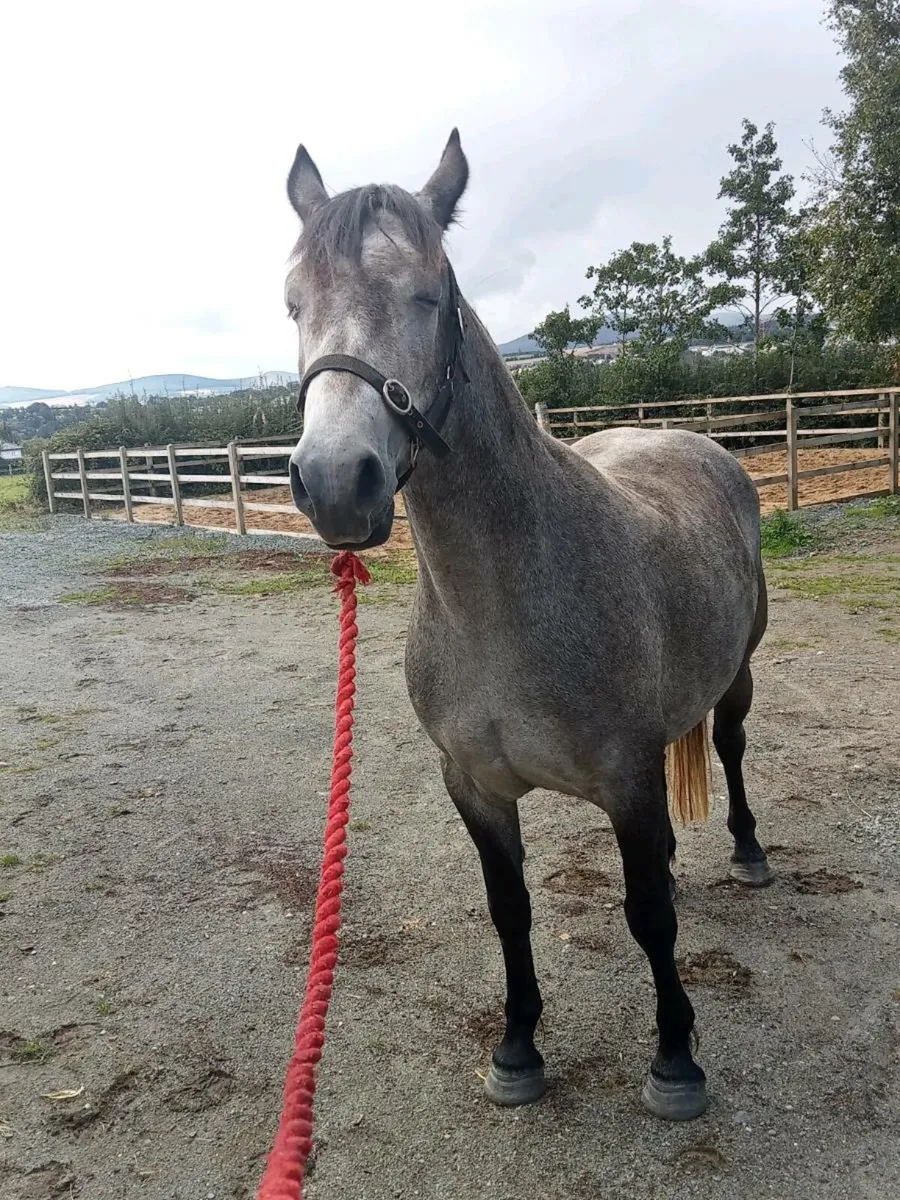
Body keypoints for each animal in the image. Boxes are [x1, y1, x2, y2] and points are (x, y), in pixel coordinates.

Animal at [283, 130, 772, 1121]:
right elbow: (511, 910)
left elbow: (649, 920)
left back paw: (747, 853)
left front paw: (676, 1061)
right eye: (292, 305)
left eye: (429, 295)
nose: (335, 482)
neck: (505, 606)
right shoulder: (474, 785)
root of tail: (696, 441)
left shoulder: (628, 780)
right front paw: (516, 1048)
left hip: (737, 676)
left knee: (733, 749)